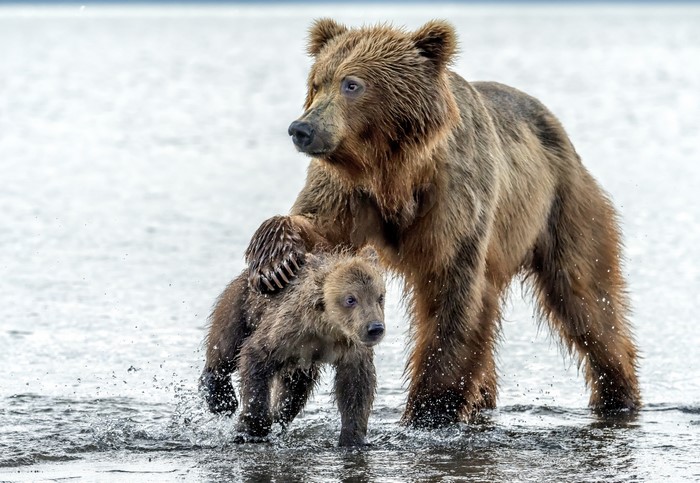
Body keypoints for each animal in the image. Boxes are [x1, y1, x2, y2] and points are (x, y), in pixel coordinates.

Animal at [201, 242, 386, 447]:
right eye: (350, 299)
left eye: (380, 297)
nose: (375, 328)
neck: (328, 327)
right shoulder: (287, 329)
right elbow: (255, 356)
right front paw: (250, 429)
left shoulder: (350, 348)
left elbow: (356, 387)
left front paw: (352, 438)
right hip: (242, 304)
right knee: (226, 346)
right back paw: (220, 397)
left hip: (299, 363)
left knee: (295, 392)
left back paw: (279, 419)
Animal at [243, 19, 641, 428]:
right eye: (316, 82)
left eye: (351, 83)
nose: (301, 129)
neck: (394, 172)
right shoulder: (347, 192)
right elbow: (318, 229)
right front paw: (276, 263)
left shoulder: (454, 198)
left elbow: (452, 294)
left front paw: (430, 409)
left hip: (563, 205)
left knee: (586, 297)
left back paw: (617, 393)